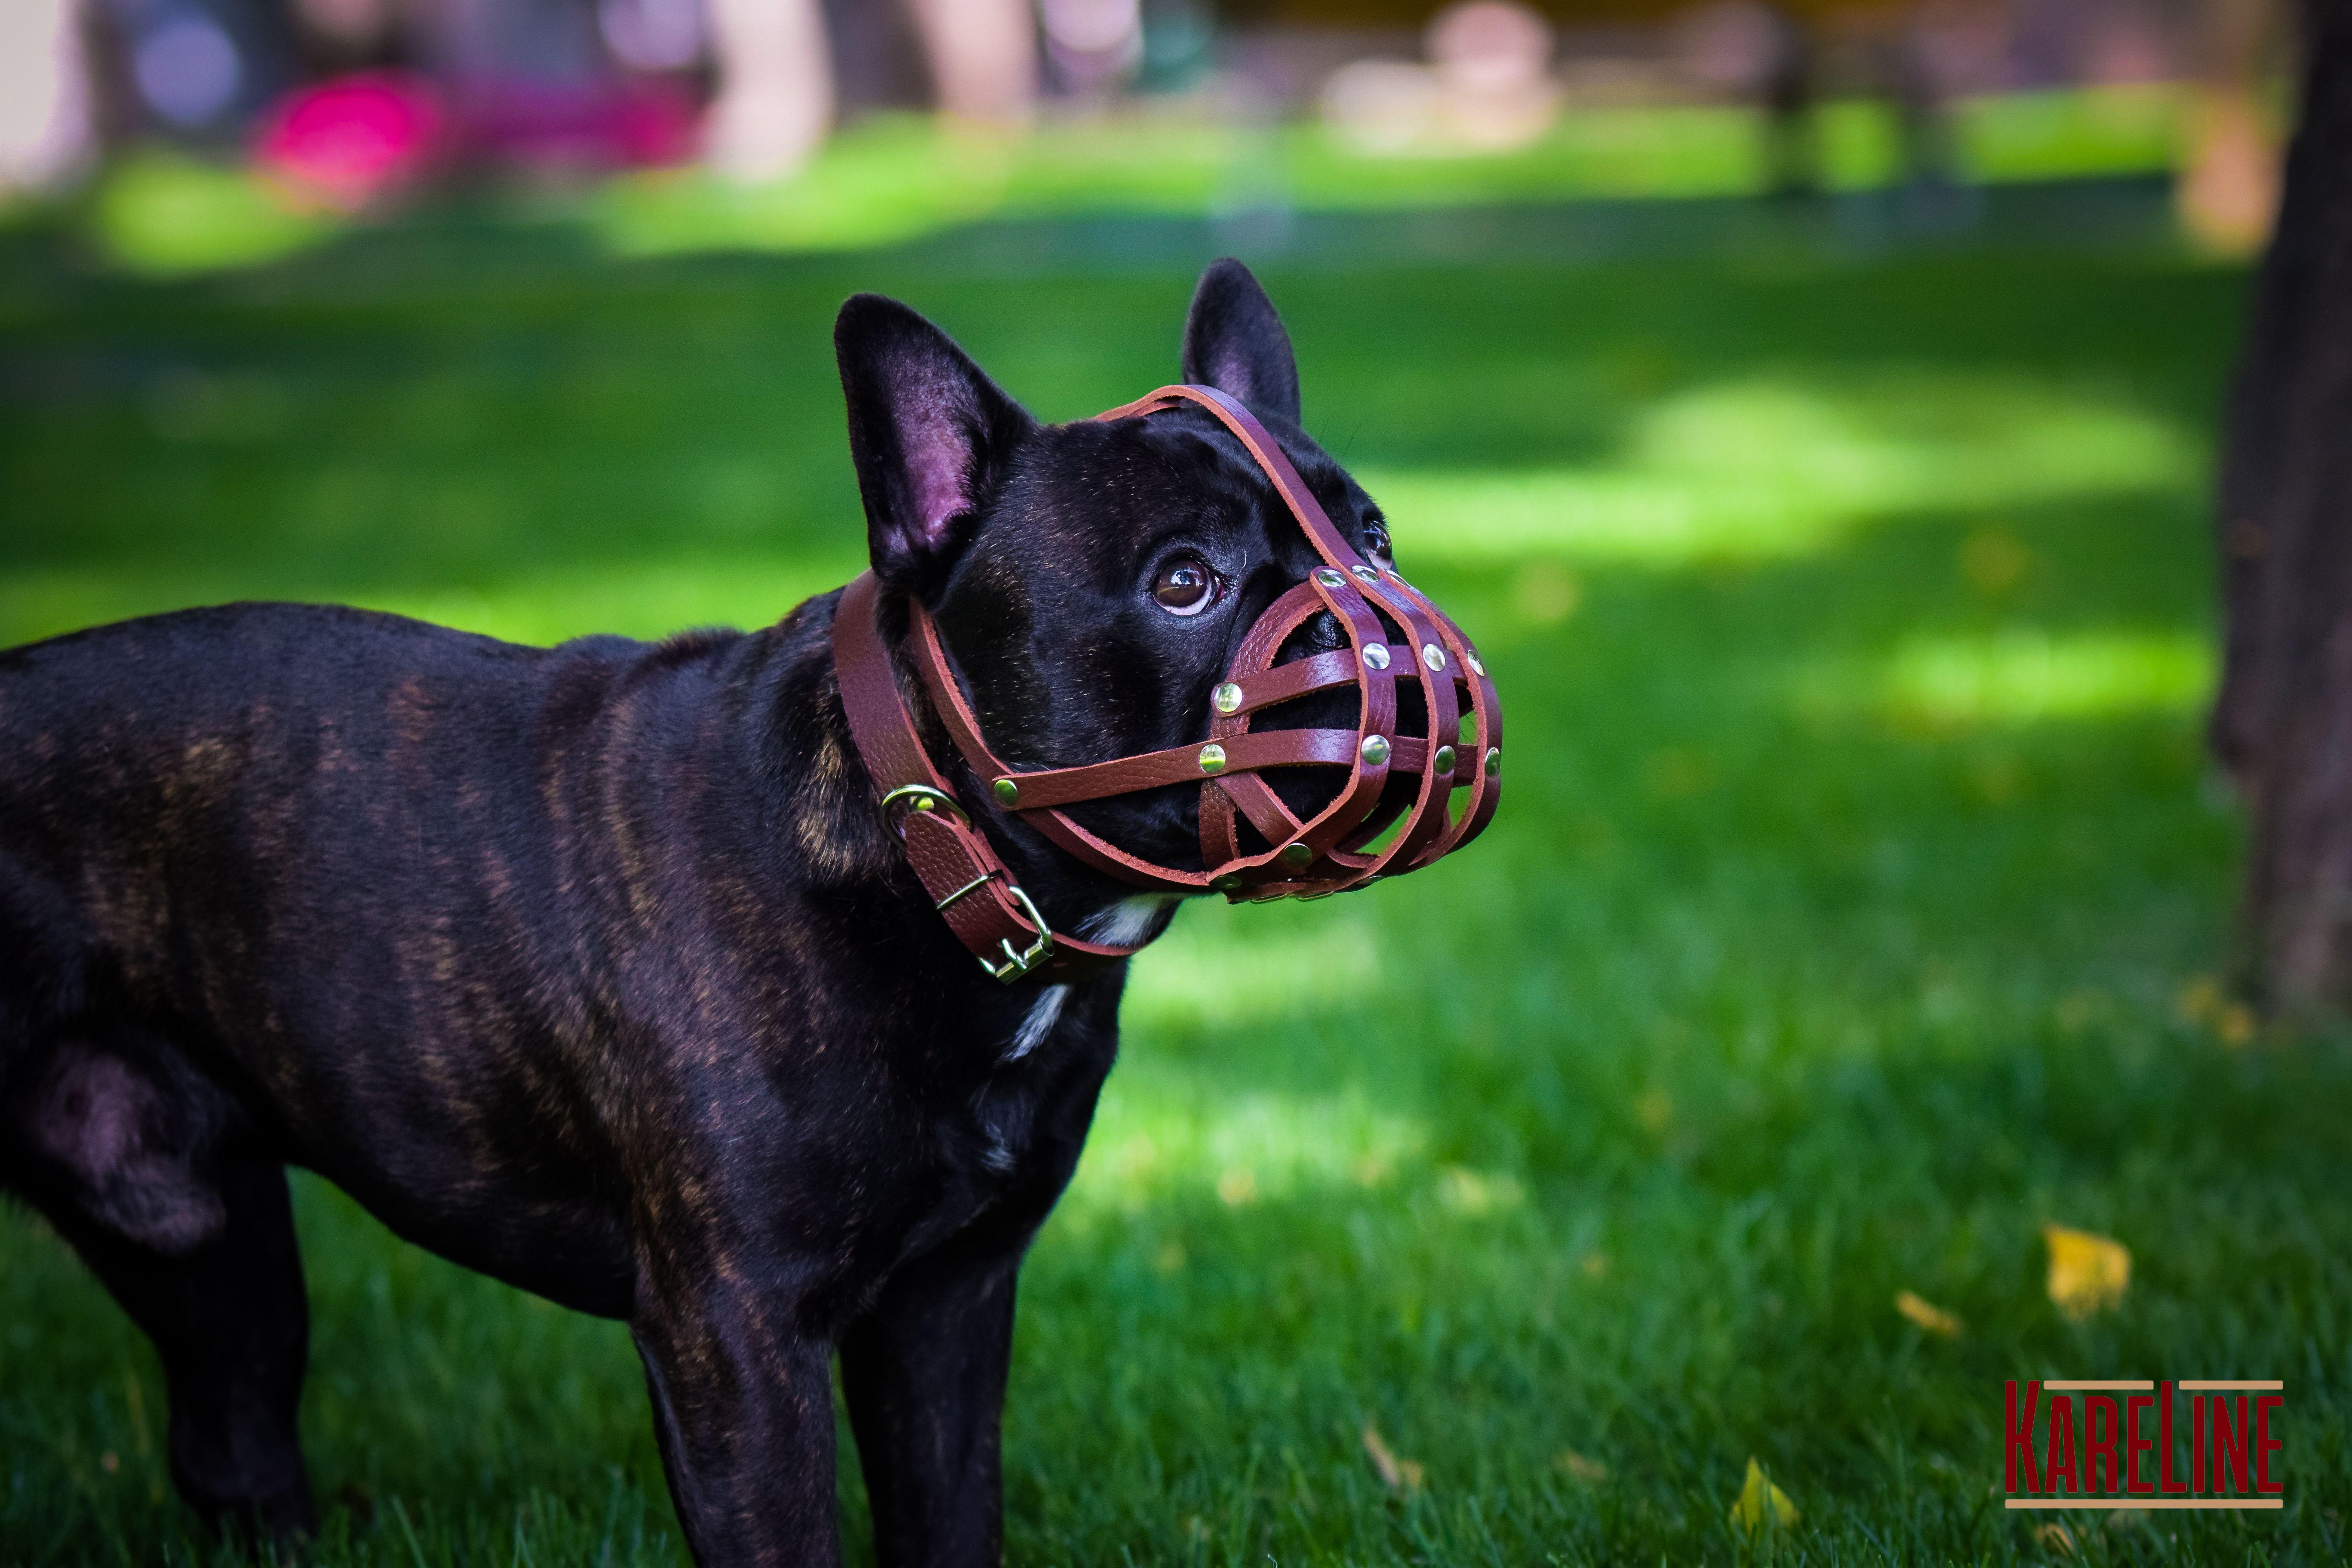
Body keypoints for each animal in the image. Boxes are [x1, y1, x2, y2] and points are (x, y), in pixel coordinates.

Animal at [0, 263, 1458, 1561]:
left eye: (1373, 537)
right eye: (1183, 582)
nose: (1391, 638)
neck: (921, 852)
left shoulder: (947, 1308)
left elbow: (947, 1521)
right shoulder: (738, 1339)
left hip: (206, 1241)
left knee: (232, 1444)